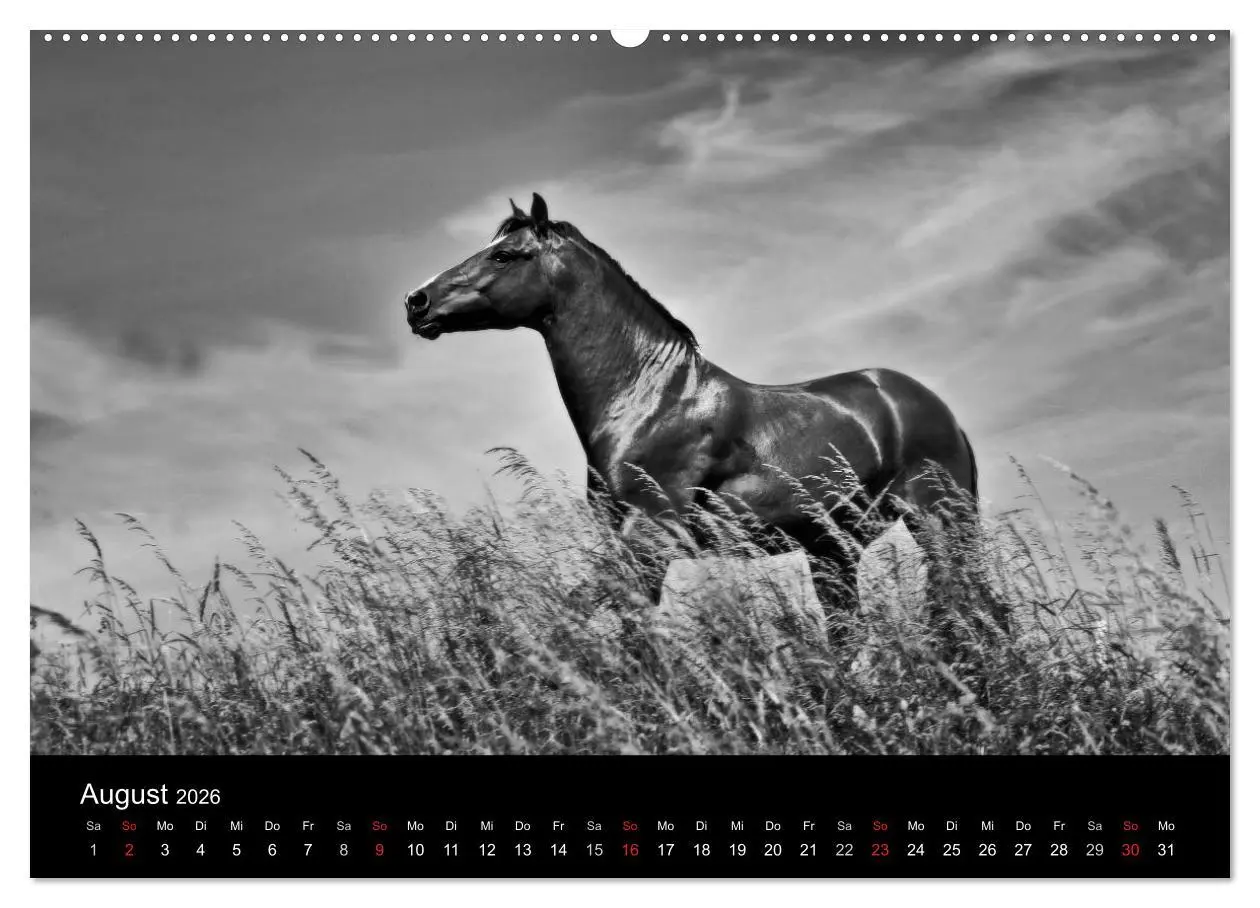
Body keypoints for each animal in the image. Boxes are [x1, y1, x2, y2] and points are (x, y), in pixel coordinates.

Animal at [403, 193, 980, 606]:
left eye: (503, 254)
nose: (416, 301)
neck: (649, 402)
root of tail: (933, 408)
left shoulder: (653, 535)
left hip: (939, 522)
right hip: (836, 548)